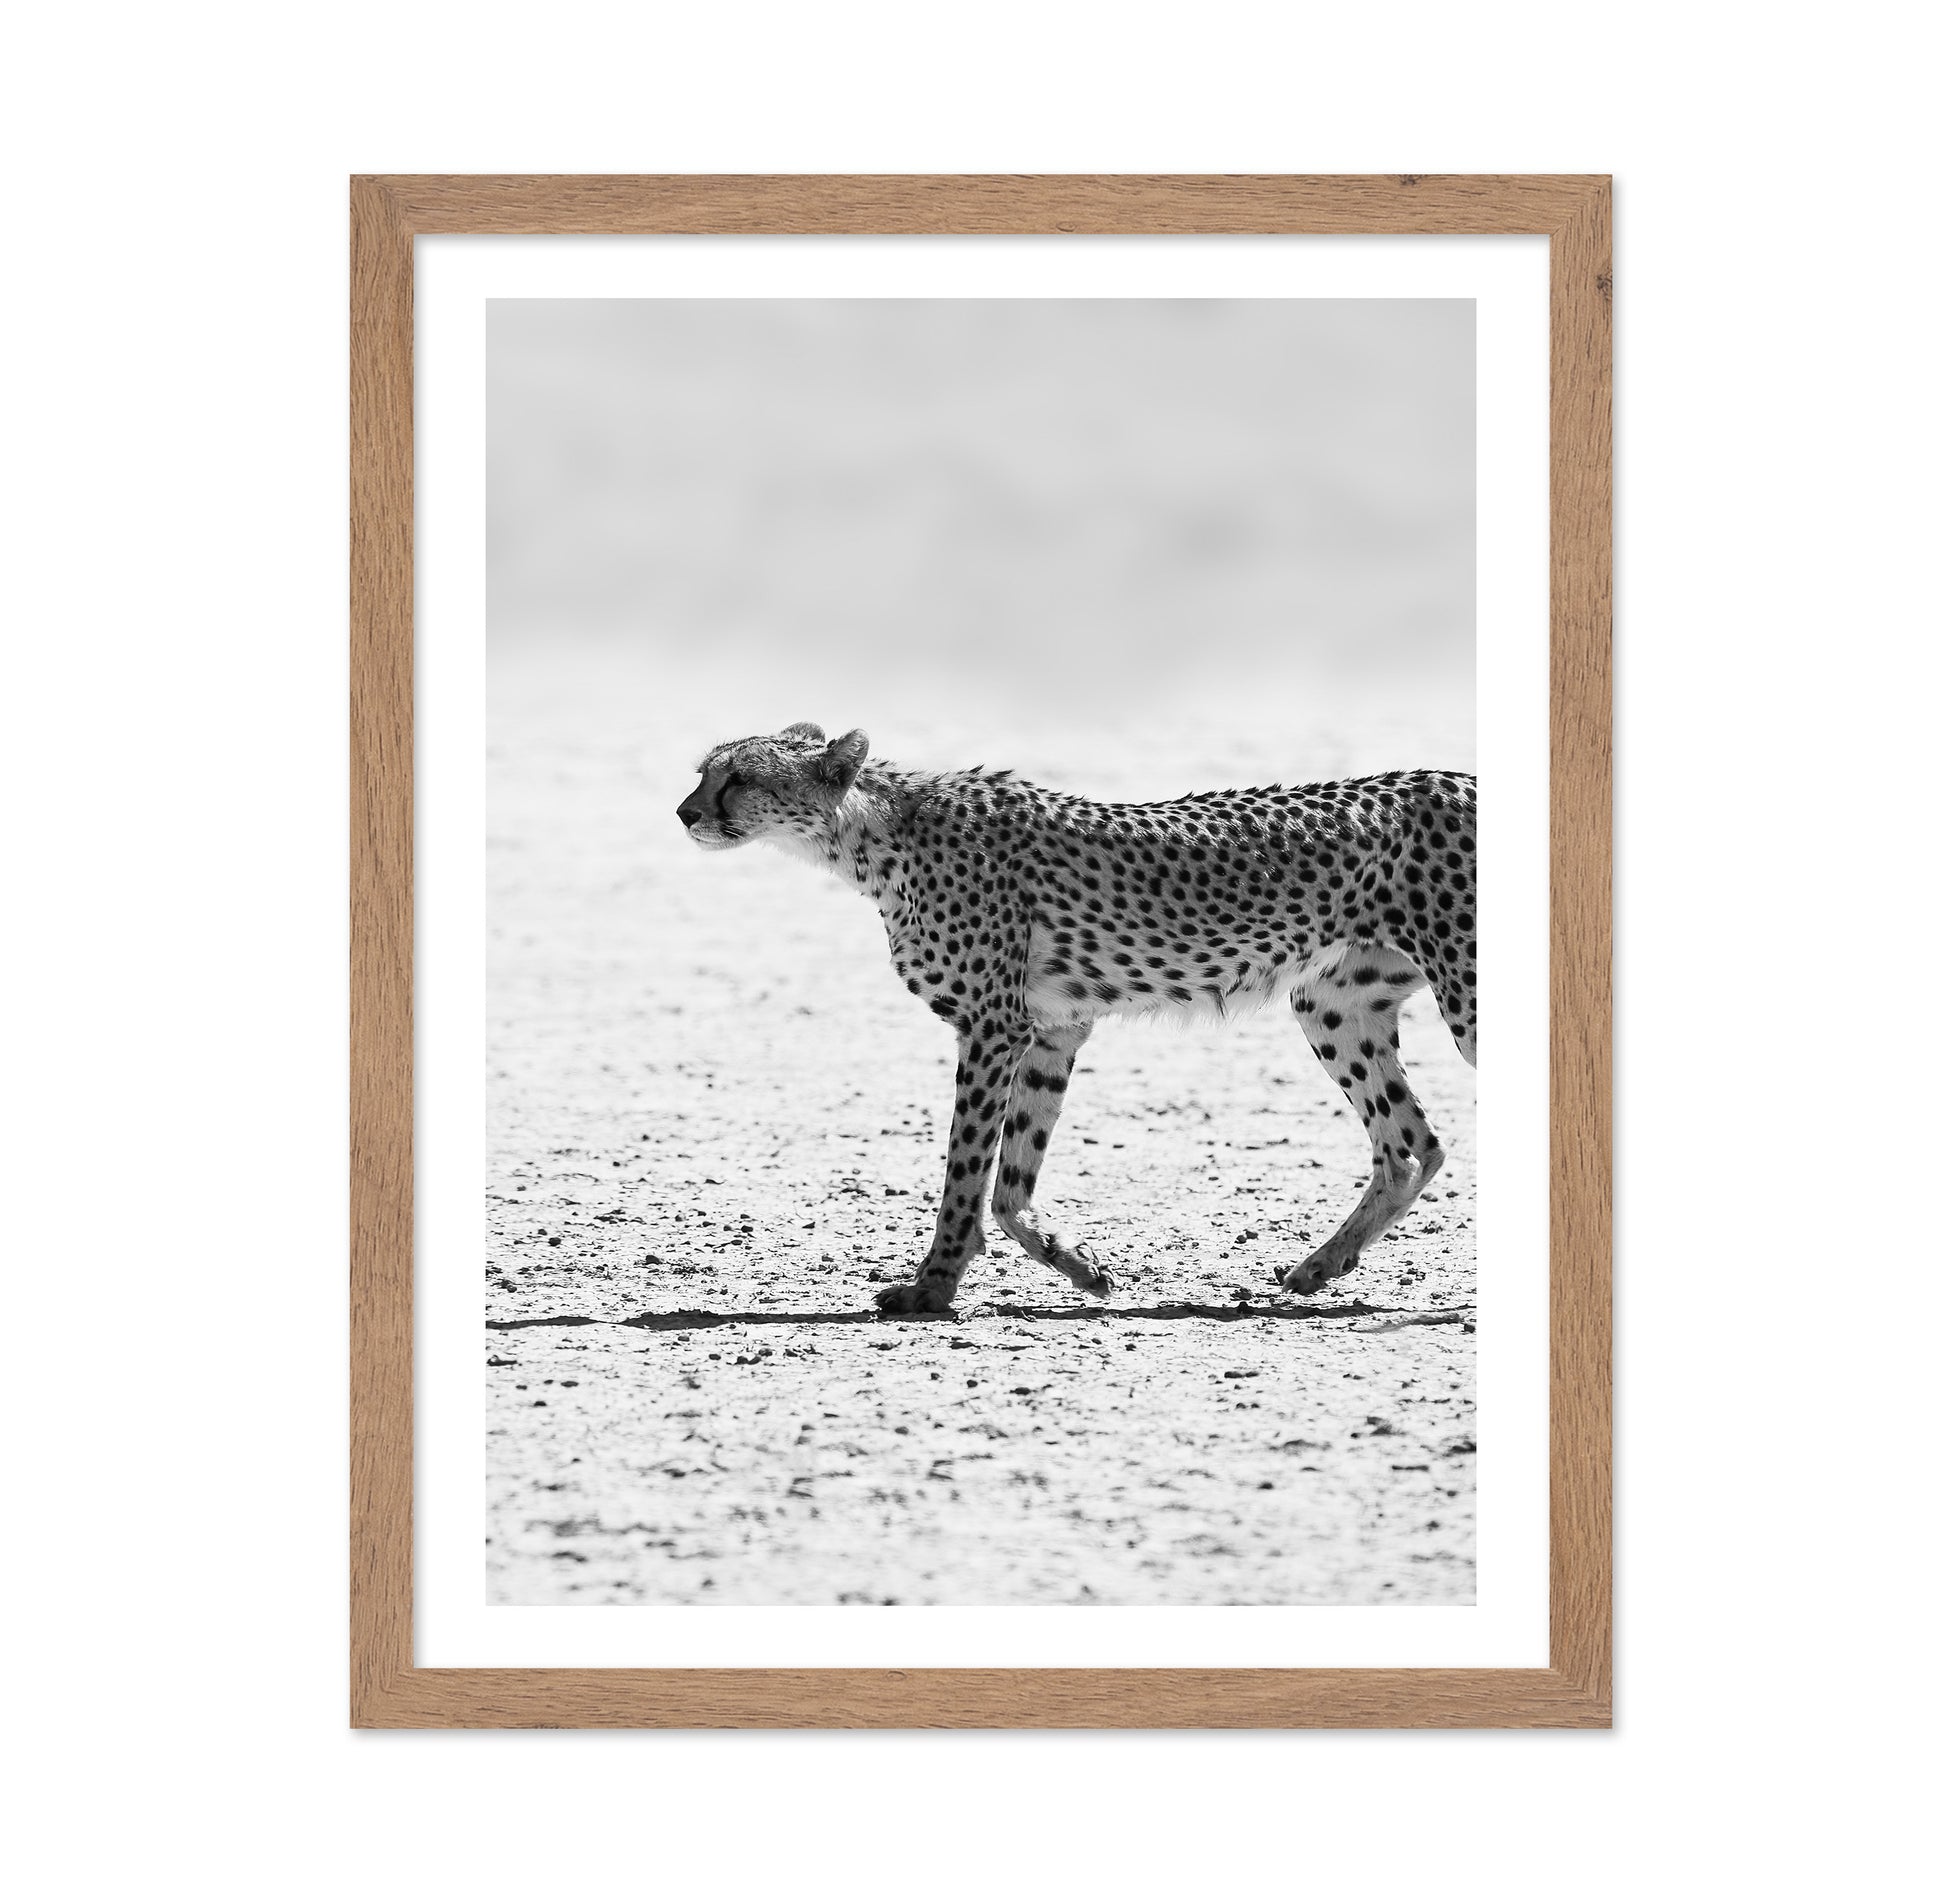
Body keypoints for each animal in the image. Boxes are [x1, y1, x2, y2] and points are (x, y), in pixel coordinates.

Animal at [676, 723, 1476, 1315]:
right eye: (703, 772)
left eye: (738, 778)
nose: (685, 812)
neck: (874, 834)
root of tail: (1458, 776)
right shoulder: (1052, 1027)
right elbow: (1011, 1181)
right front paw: (1080, 1267)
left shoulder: (993, 1025)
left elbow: (966, 1169)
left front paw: (932, 1286)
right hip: (1332, 1003)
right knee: (1411, 1145)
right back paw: (1320, 1266)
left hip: (1463, 993)